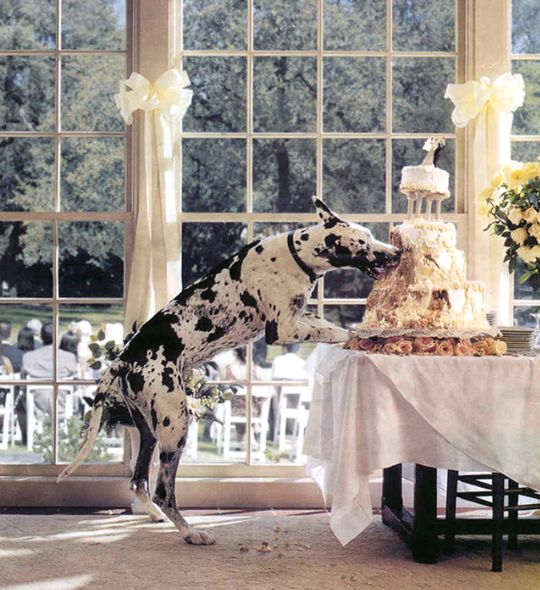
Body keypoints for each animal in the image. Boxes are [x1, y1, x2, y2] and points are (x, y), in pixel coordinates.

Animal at [58, 199, 400, 544]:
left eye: (370, 235)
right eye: (363, 243)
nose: (396, 252)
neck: (296, 256)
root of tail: (124, 358)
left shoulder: (302, 318)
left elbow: (332, 326)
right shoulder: (283, 330)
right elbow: (340, 332)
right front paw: (368, 337)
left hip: (150, 432)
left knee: (138, 481)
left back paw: (156, 517)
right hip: (175, 426)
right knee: (162, 491)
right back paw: (191, 532)